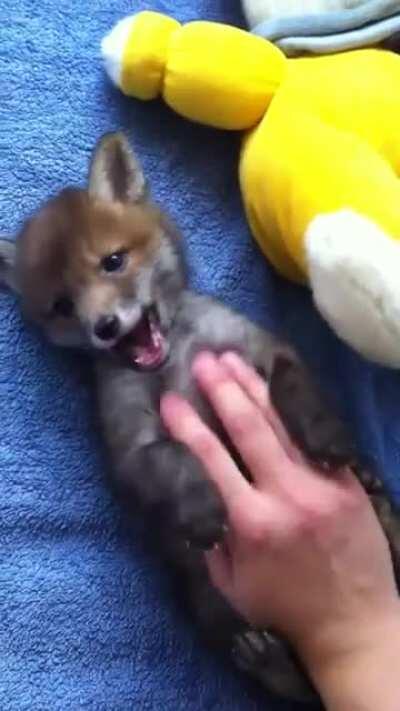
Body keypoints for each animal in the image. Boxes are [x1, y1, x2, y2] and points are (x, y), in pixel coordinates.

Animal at [0, 132, 399, 702]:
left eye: (112, 261)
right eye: (61, 305)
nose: (105, 326)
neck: (179, 352)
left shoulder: (265, 351)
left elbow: (297, 391)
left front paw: (325, 438)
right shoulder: (131, 443)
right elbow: (173, 457)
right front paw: (203, 508)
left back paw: (378, 504)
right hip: (207, 599)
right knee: (295, 684)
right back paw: (266, 659)